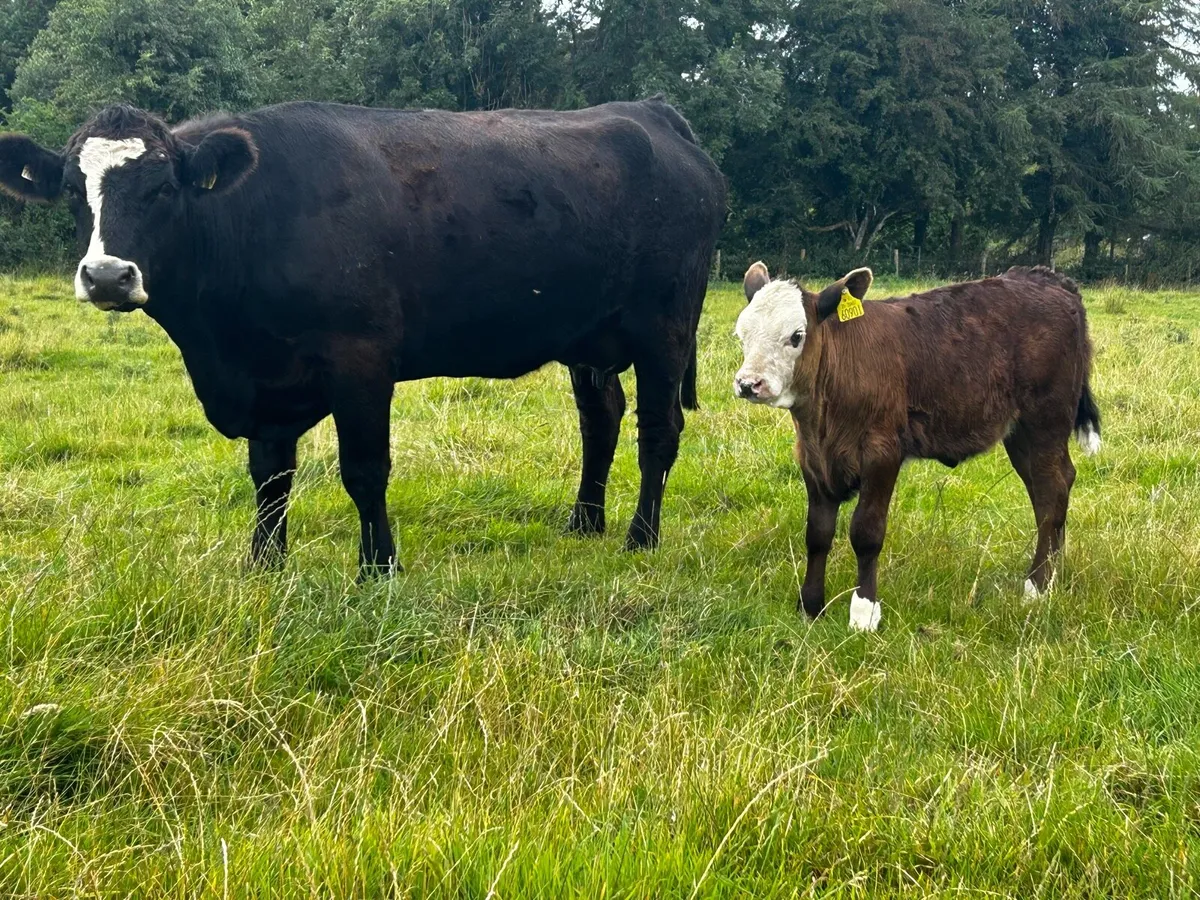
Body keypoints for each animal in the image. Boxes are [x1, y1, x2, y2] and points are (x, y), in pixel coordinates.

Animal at [0, 99, 726, 576]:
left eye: (162, 189)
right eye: (75, 192)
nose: (107, 276)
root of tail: (654, 113)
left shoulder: (360, 361)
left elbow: (365, 470)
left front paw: (378, 567)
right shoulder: (266, 378)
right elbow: (270, 474)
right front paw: (265, 564)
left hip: (664, 328)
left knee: (659, 432)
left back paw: (639, 537)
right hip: (589, 340)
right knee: (600, 421)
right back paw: (583, 523)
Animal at [734, 262, 1101, 631]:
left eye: (796, 336)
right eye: (741, 334)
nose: (749, 384)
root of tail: (1045, 278)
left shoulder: (882, 453)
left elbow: (866, 532)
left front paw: (864, 613)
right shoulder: (813, 458)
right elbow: (817, 533)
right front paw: (810, 607)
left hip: (1045, 421)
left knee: (1052, 490)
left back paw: (1036, 587)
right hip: (1021, 433)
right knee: (1047, 491)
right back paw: (1051, 576)